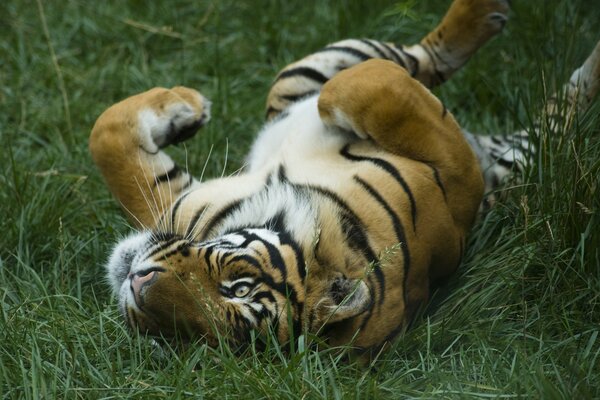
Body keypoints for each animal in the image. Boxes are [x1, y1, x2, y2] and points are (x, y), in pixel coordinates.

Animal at [90, 0, 600, 352]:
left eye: (237, 289)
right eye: (173, 334)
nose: (136, 285)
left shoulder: (456, 178)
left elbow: (365, 87)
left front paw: (190, 110)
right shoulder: (179, 205)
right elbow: (107, 134)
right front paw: (188, 109)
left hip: (310, 73)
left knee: (408, 63)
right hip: (304, 73)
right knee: (421, 60)